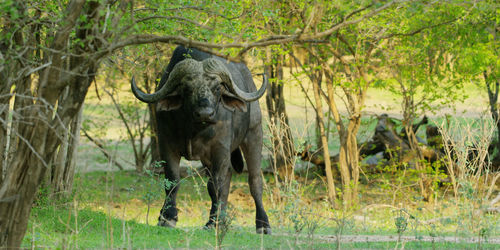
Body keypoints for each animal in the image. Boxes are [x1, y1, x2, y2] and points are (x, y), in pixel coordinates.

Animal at [129, 45, 270, 234]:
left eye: (217, 87)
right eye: (187, 88)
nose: (205, 113)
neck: (194, 129)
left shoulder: (220, 149)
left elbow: (215, 185)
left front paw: (213, 222)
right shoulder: (166, 145)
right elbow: (172, 180)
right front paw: (167, 217)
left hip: (254, 134)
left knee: (254, 181)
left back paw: (263, 225)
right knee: (226, 178)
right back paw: (222, 219)